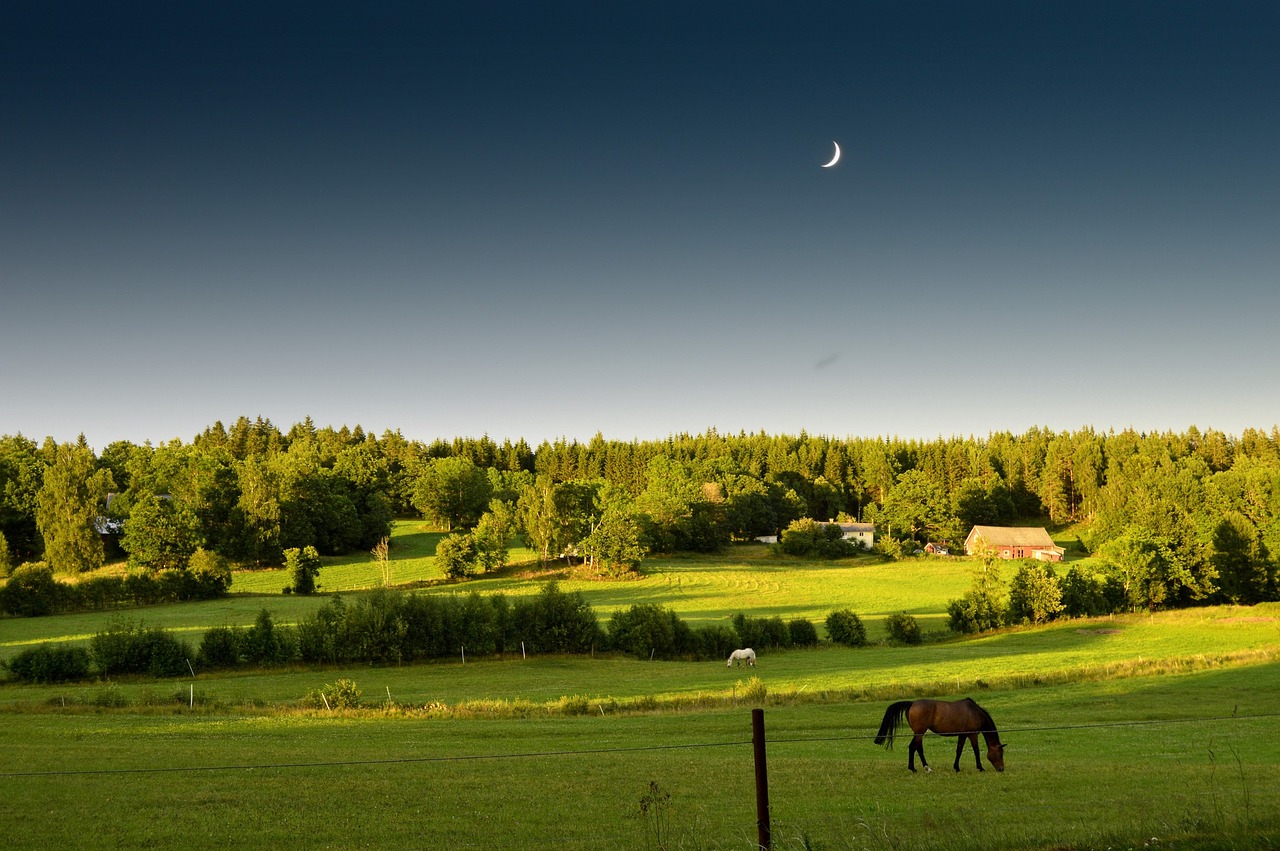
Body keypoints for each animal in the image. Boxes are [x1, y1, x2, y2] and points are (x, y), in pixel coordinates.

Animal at [875, 696, 1003, 767]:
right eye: (1001, 753)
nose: (1001, 769)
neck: (974, 712)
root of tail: (912, 703)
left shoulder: (962, 735)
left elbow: (959, 751)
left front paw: (956, 767)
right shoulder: (972, 735)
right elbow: (976, 750)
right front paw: (980, 767)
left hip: (918, 733)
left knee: (914, 747)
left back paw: (913, 768)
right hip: (920, 732)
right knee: (916, 747)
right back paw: (925, 768)